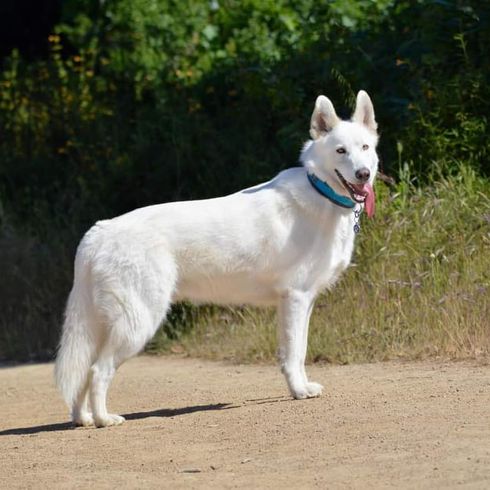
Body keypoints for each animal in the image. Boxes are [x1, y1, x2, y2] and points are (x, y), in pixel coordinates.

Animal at [56, 90, 378, 426]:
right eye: (340, 151)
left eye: (365, 148)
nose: (363, 174)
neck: (320, 191)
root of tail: (100, 231)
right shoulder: (296, 298)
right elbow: (294, 354)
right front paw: (299, 392)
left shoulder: (302, 302)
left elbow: (299, 349)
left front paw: (301, 387)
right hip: (137, 323)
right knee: (98, 370)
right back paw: (104, 419)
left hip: (102, 326)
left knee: (83, 371)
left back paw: (83, 418)